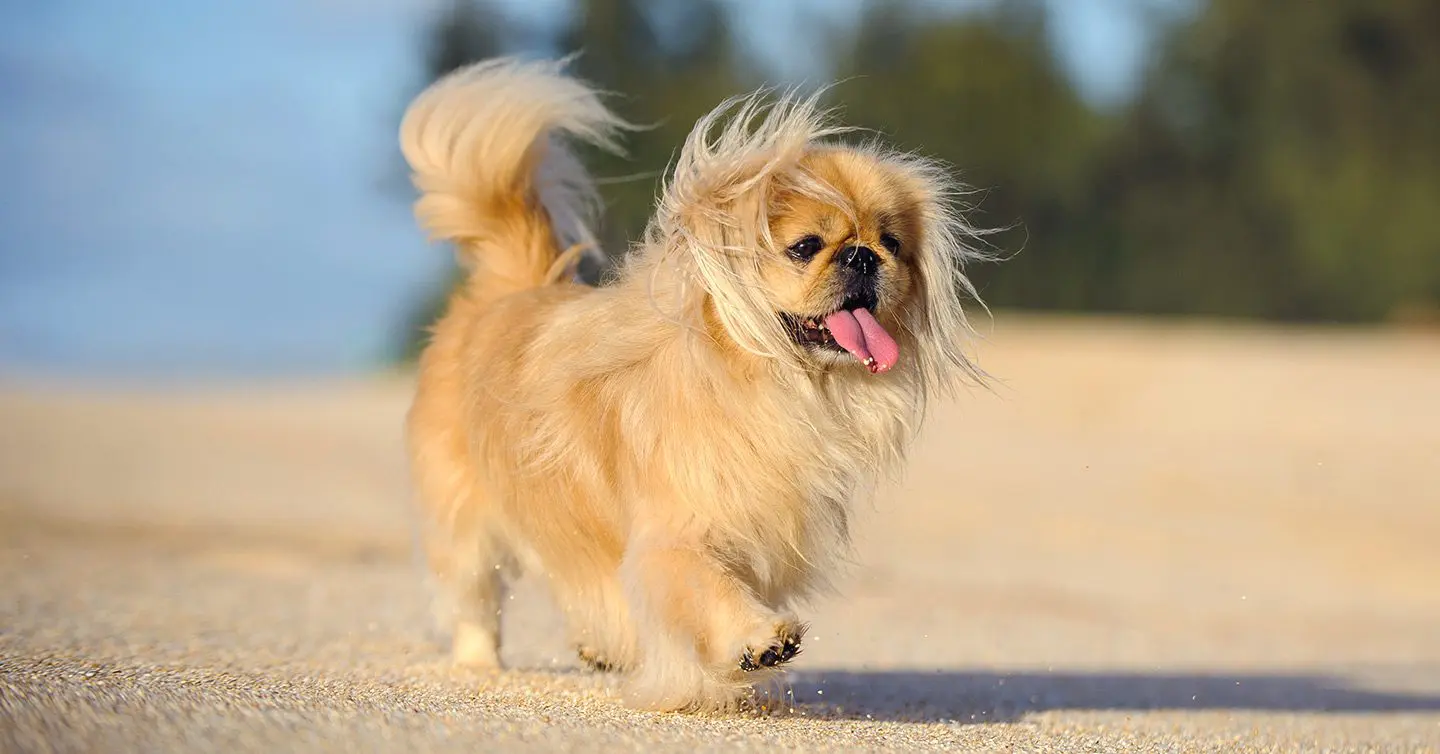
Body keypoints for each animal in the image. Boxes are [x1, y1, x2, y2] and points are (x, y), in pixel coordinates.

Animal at [406, 58, 990, 713]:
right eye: (806, 247)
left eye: (891, 244)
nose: (863, 256)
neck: (770, 383)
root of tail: (506, 290)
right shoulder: (677, 537)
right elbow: (709, 589)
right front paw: (758, 643)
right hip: (464, 520)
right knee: (474, 600)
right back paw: (480, 666)